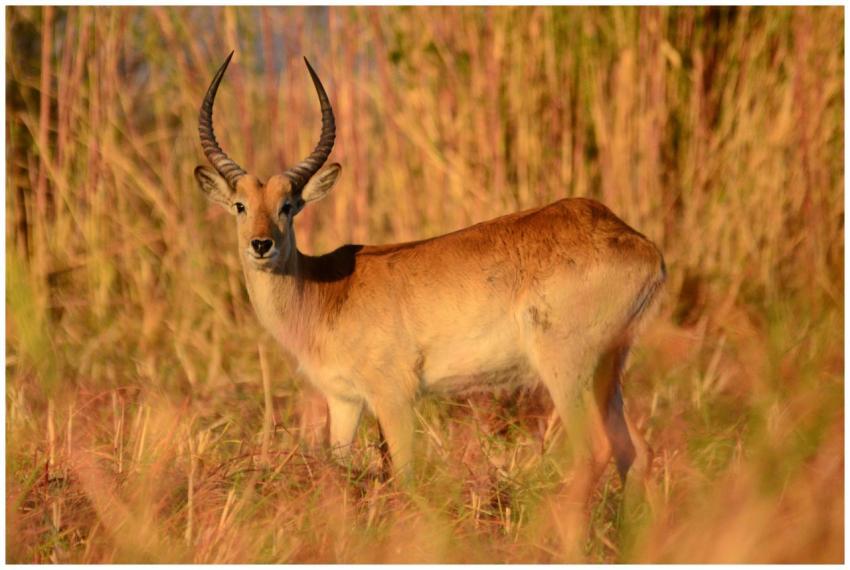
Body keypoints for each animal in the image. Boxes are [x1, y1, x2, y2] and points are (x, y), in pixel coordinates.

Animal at [194, 52, 665, 539]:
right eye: (241, 205)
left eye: (288, 205)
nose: (261, 244)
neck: (328, 292)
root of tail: (639, 243)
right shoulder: (343, 400)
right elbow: (338, 472)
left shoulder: (394, 396)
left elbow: (404, 476)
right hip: (608, 370)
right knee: (636, 453)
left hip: (566, 367)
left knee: (595, 450)